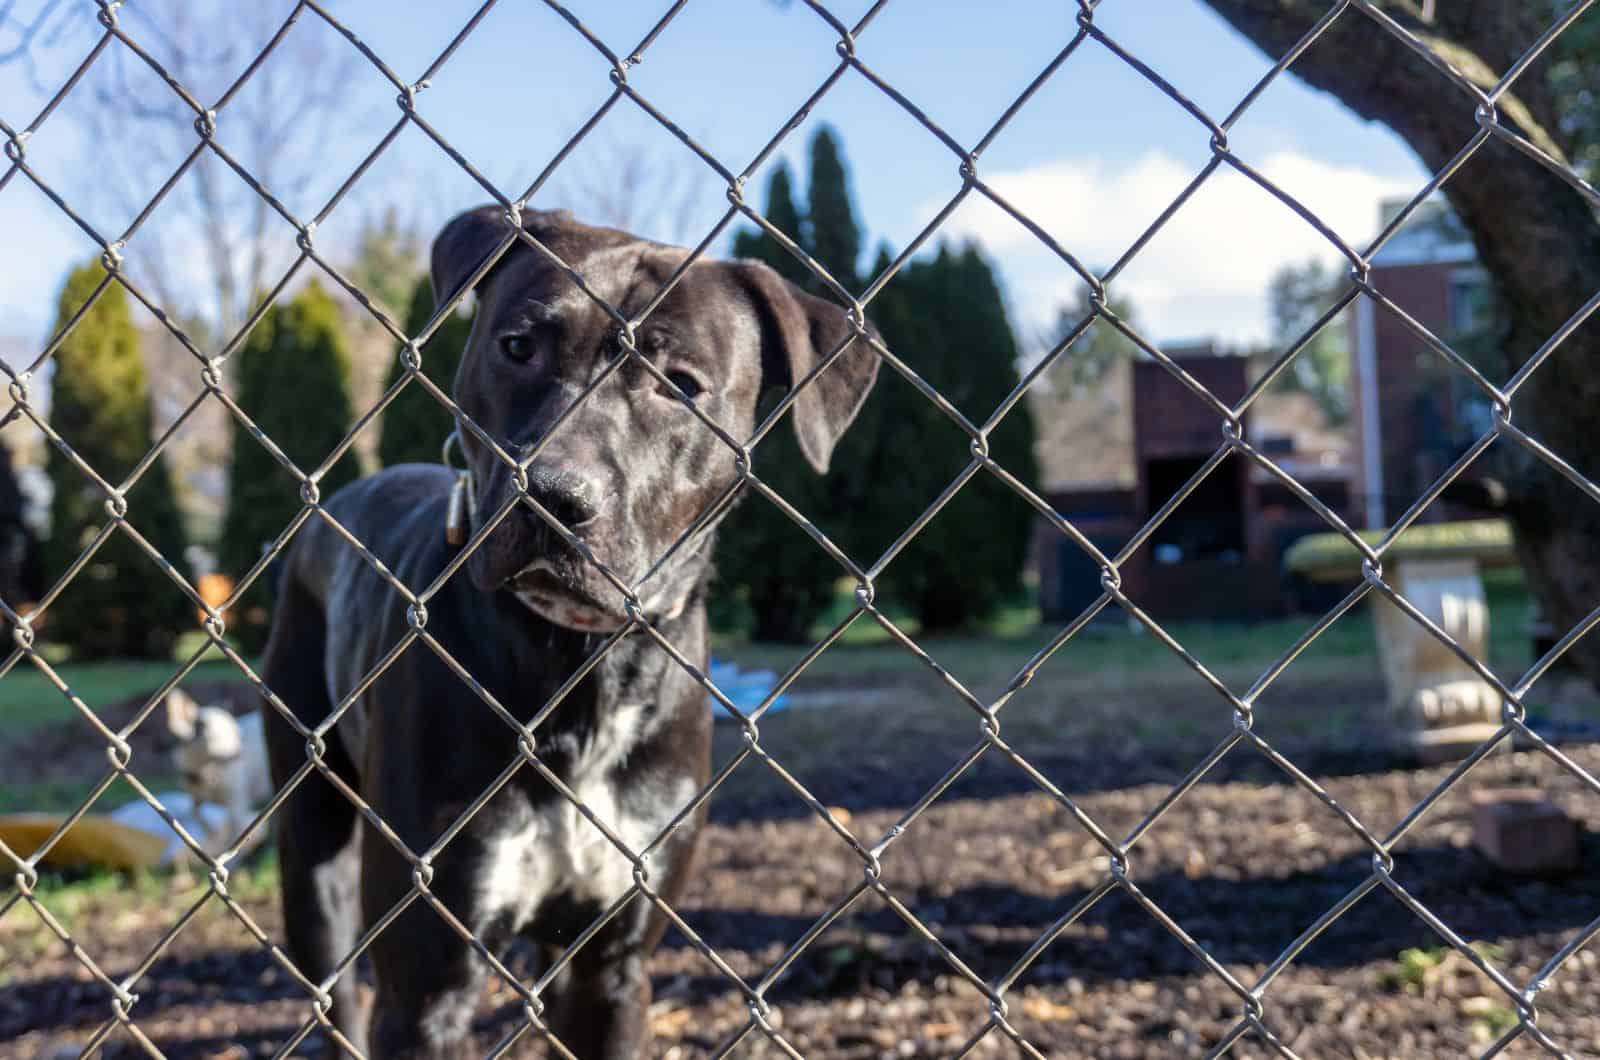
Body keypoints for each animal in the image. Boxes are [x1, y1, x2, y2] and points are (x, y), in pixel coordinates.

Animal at [164, 694, 273, 858]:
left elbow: (236, 827)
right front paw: (212, 833)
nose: (239, 752)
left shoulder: (236, 802)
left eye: (236, 733)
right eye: (214, 738)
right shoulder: (196, 795)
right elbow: (195, 812)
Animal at [265, 203, 889, 1056]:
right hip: (311, 839)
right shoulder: (428, 985)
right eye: (518, 346)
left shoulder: (612, 968)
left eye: (680, 385)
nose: (553, 497)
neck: (584, 667)